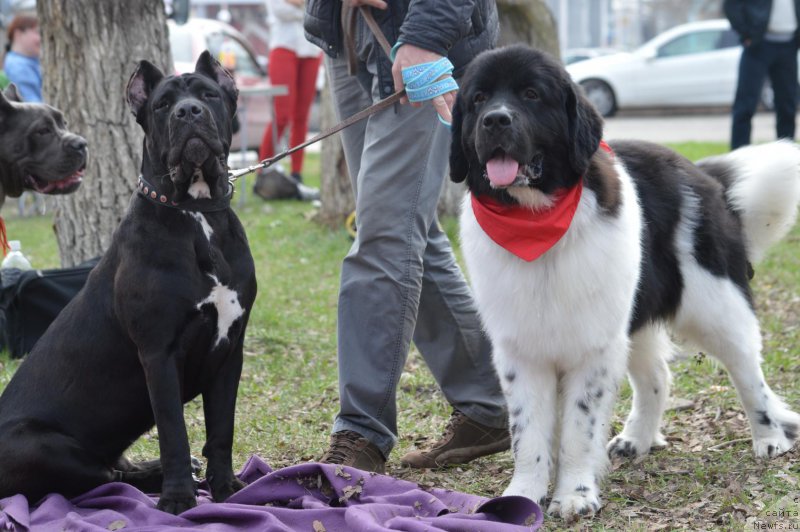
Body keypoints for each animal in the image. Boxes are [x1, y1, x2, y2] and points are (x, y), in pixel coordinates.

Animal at [0, 52, 256, 512]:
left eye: (208, 95)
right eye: (162, 104)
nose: (188, 112)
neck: (198, 212)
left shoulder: (230, 350)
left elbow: (221, 430)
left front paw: (227, 489)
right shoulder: (158, 353)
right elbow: (174, 432)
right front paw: (178, 501)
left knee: (116, 470)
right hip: (40, 445)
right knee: (106, 478)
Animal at [450, 45, 800, 520]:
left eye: (531, 95)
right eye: (479, 99)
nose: (495, 120)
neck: (537, 222)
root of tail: (701, 174)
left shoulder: (593, 346)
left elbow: (578, 427)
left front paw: (575, 494)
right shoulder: (522, 351)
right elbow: (528, 432)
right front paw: (521, 496)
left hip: (714, 306)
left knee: (748, 371)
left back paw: (769, 439)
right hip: (632, 315)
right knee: (656, 376)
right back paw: (637, 440)